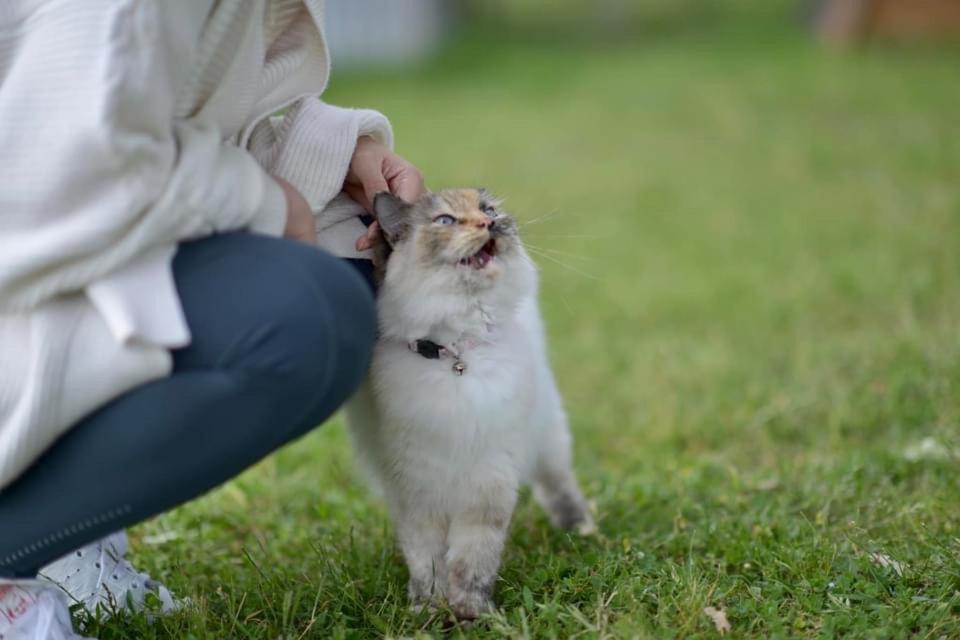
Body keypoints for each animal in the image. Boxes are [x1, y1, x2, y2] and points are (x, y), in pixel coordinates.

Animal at [344, 189, 592, 620]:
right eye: (446, 221)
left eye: (488, 210)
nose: (490, 224)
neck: (457, 355)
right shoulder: (417, 490)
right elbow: (426, 561)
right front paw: (427, 608)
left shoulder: (486, 483)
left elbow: (471, 560)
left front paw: (468, 612)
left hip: (548, 439)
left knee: (559, 483)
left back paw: (580, 529)